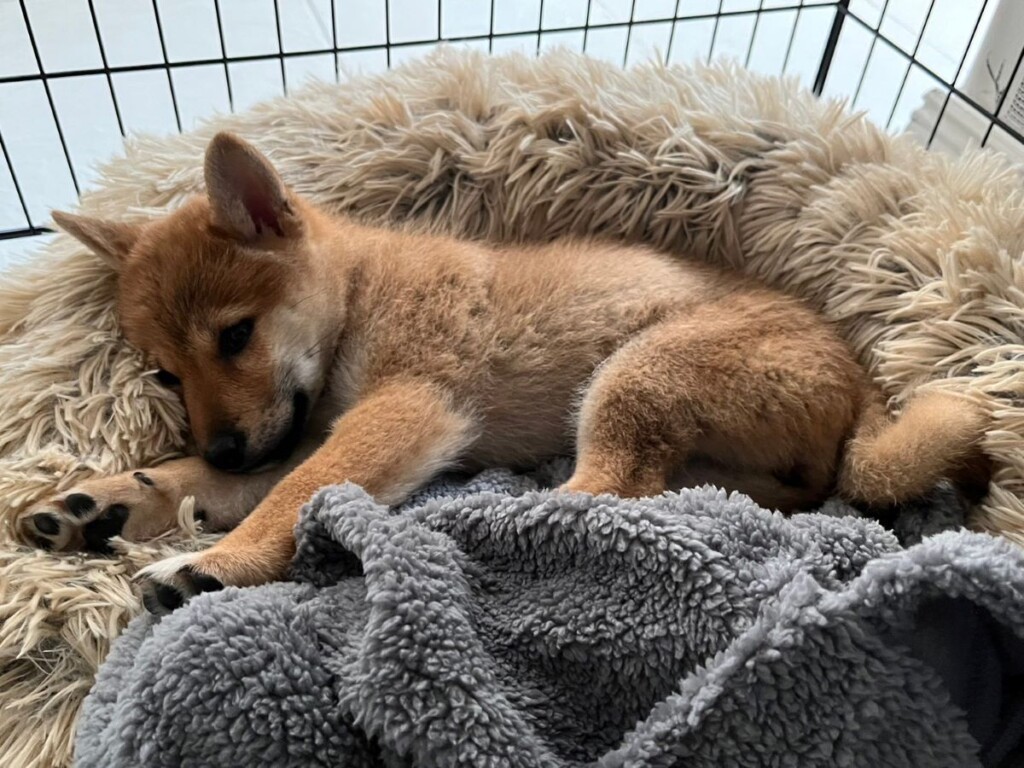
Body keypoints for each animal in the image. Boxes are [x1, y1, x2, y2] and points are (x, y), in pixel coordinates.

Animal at [19, 131, 987, 614]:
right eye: (163, 374)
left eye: (234, 336)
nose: (222, 446)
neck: (362, 291)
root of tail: (859, 382)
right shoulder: (297, 431)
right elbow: (232, 481)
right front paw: (110, 501)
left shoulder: (408, 410)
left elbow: (294, 494)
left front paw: (216, 563)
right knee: (695, 492)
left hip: (636, 374)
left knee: (610, 491)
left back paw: (470, 516)